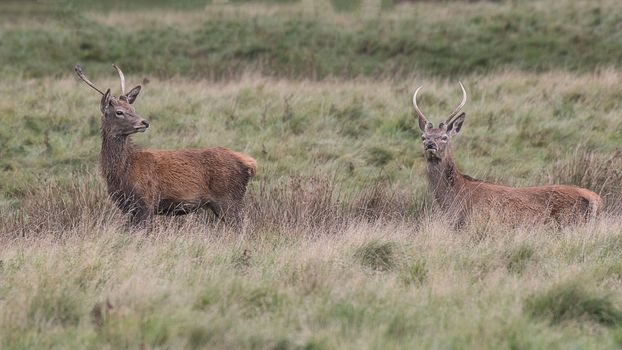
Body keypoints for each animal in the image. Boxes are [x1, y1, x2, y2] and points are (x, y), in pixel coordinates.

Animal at [75, 64, 256, 226]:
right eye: (119, 112)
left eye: (133, 109)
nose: (144, 122)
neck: (121, 171)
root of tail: (250, 163)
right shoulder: (129, 207)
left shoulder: (146, 202)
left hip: (228, 199)